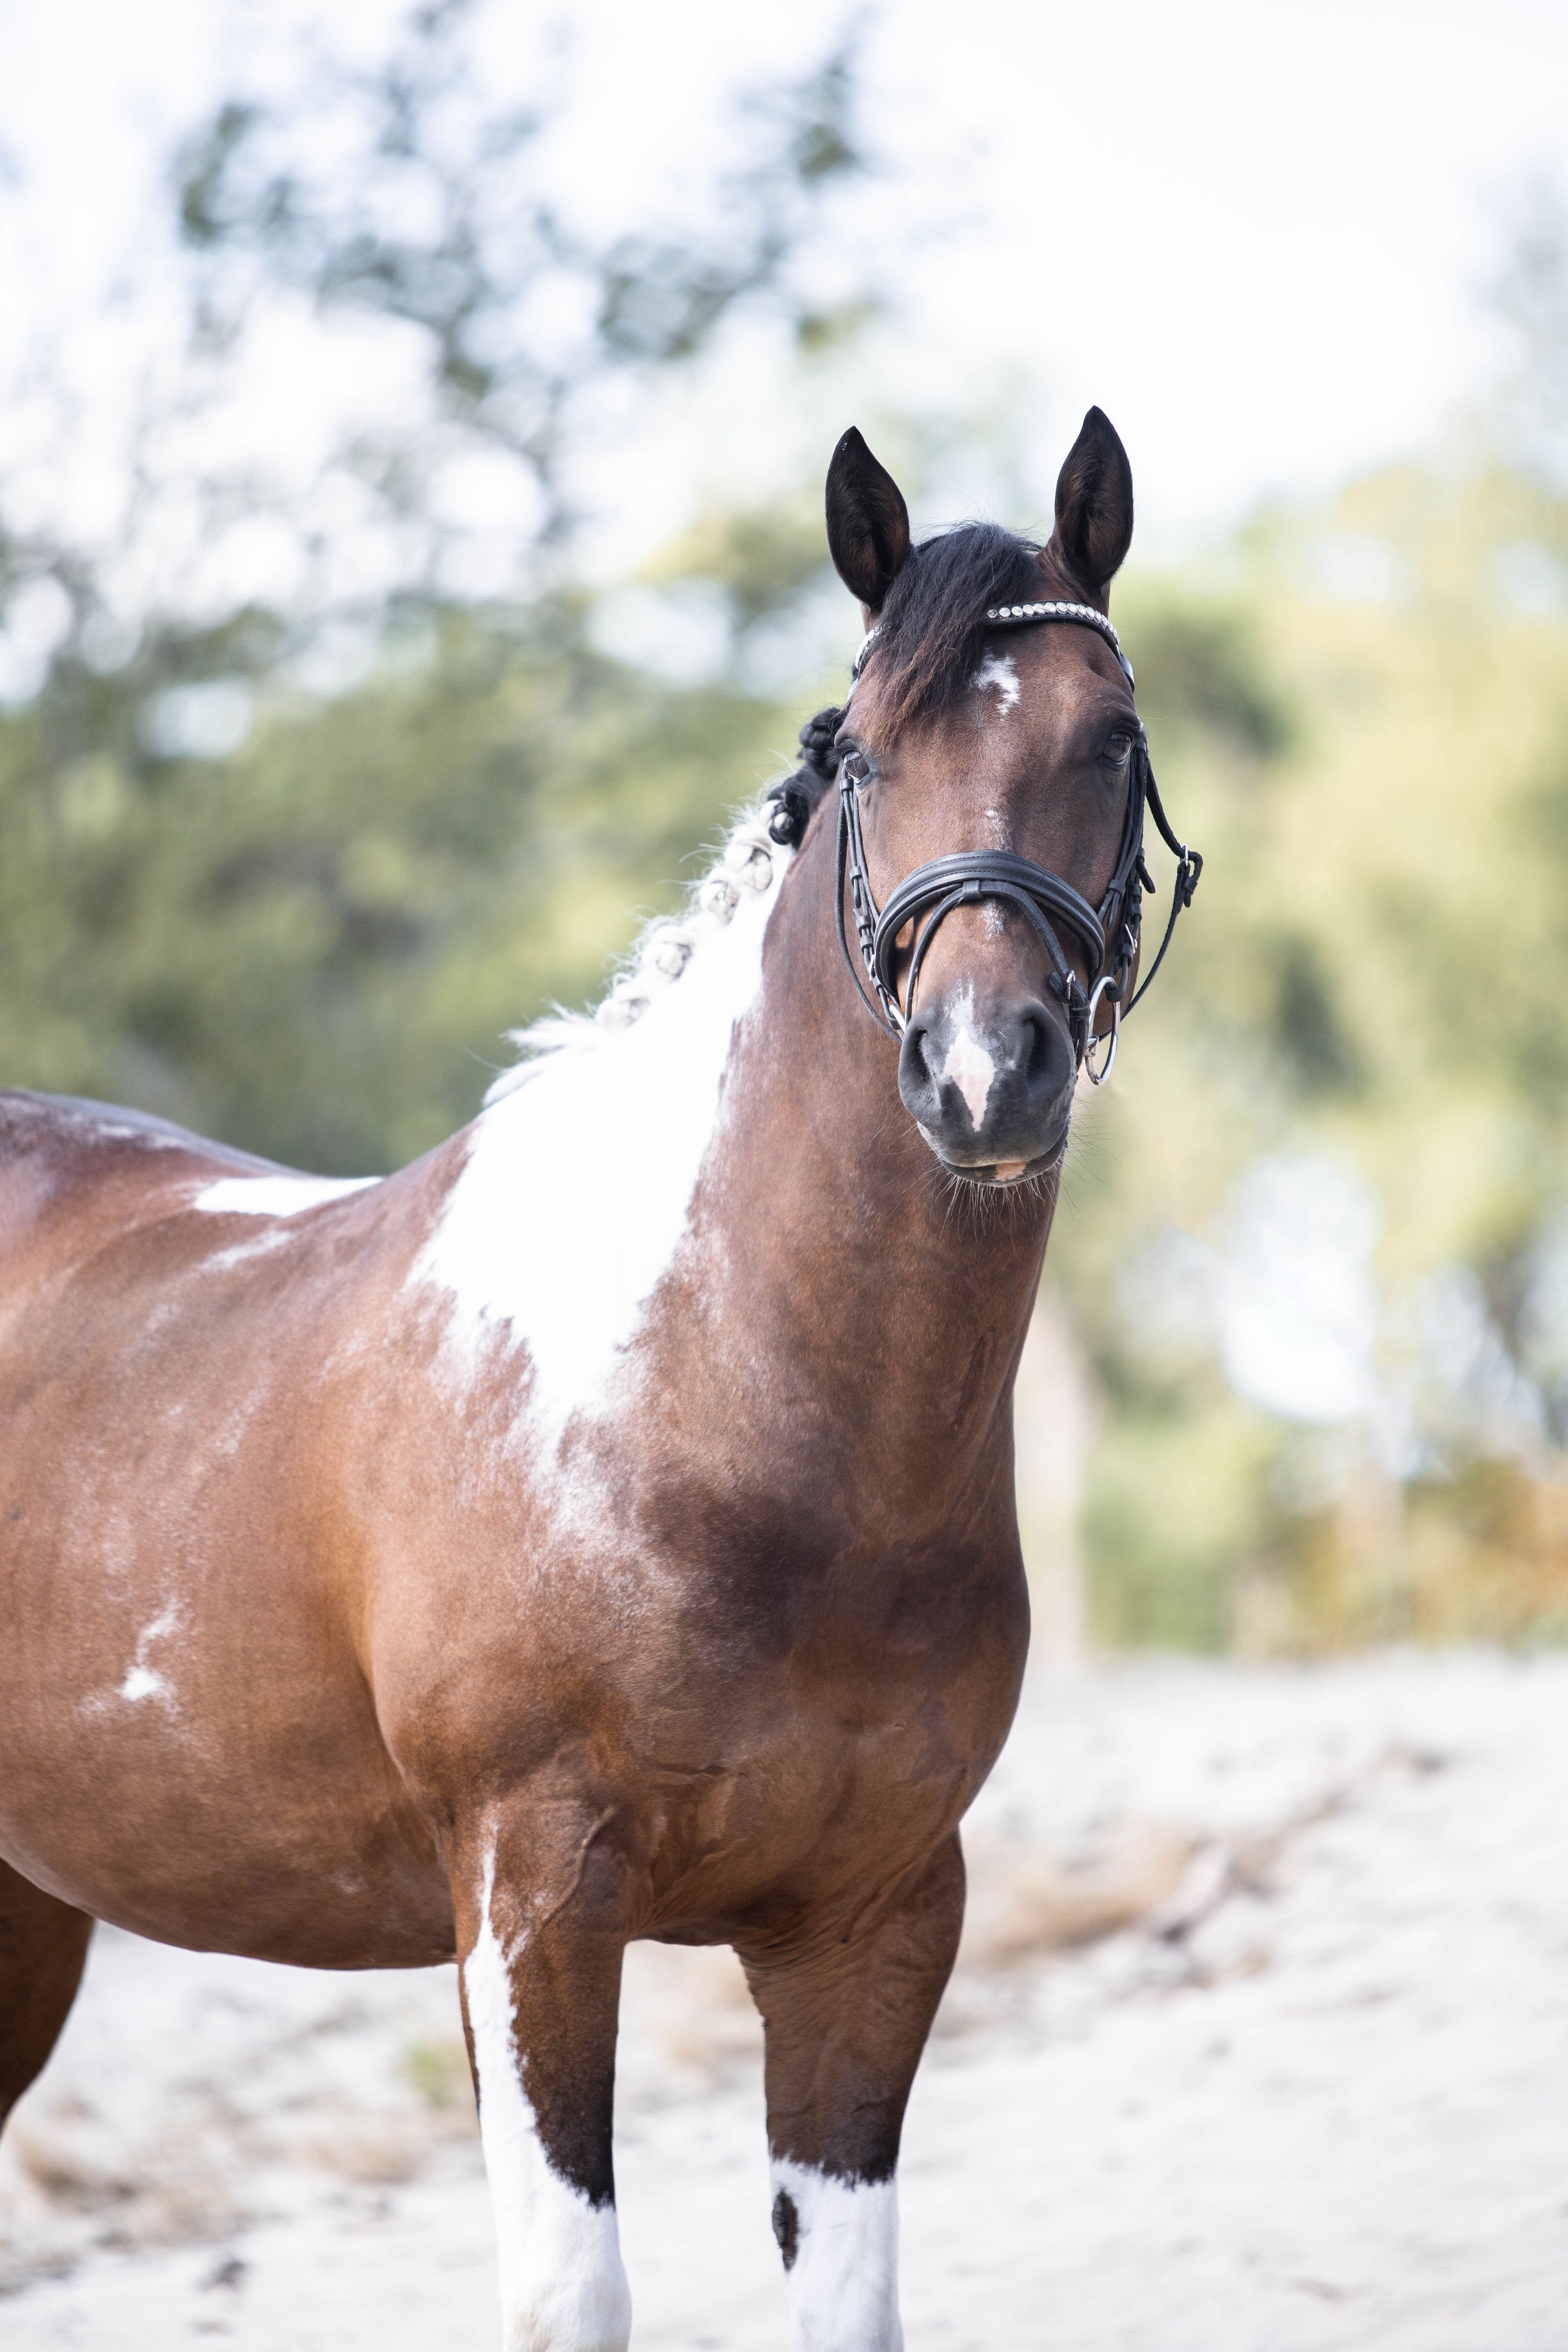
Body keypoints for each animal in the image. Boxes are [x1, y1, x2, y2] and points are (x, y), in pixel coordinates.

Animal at [0, 406, 1197, 2351]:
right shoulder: (531, 1911)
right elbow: (575, 2294)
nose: (981, 1072)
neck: (713, 1399)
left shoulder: (873, 1923)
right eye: (866, 748)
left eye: (1110, 734)